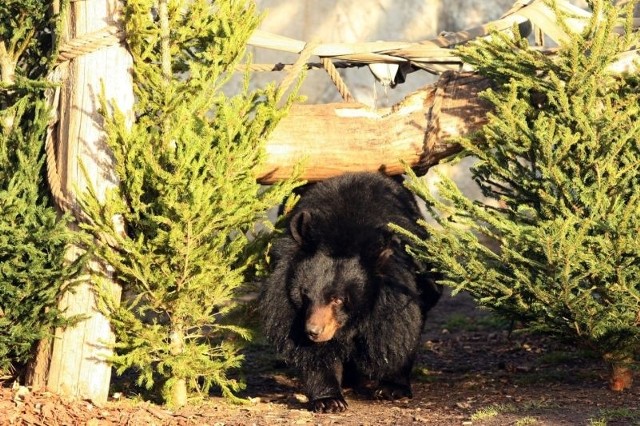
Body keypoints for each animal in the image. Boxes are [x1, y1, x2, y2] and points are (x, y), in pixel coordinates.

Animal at [258, 172, 442, 412]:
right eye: (305, 294)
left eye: (337, 299)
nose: (312, 331)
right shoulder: (289, 304)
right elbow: (312, 352)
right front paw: (329, 400)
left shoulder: (406, 285)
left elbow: (401, 330)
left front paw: (391, 388)